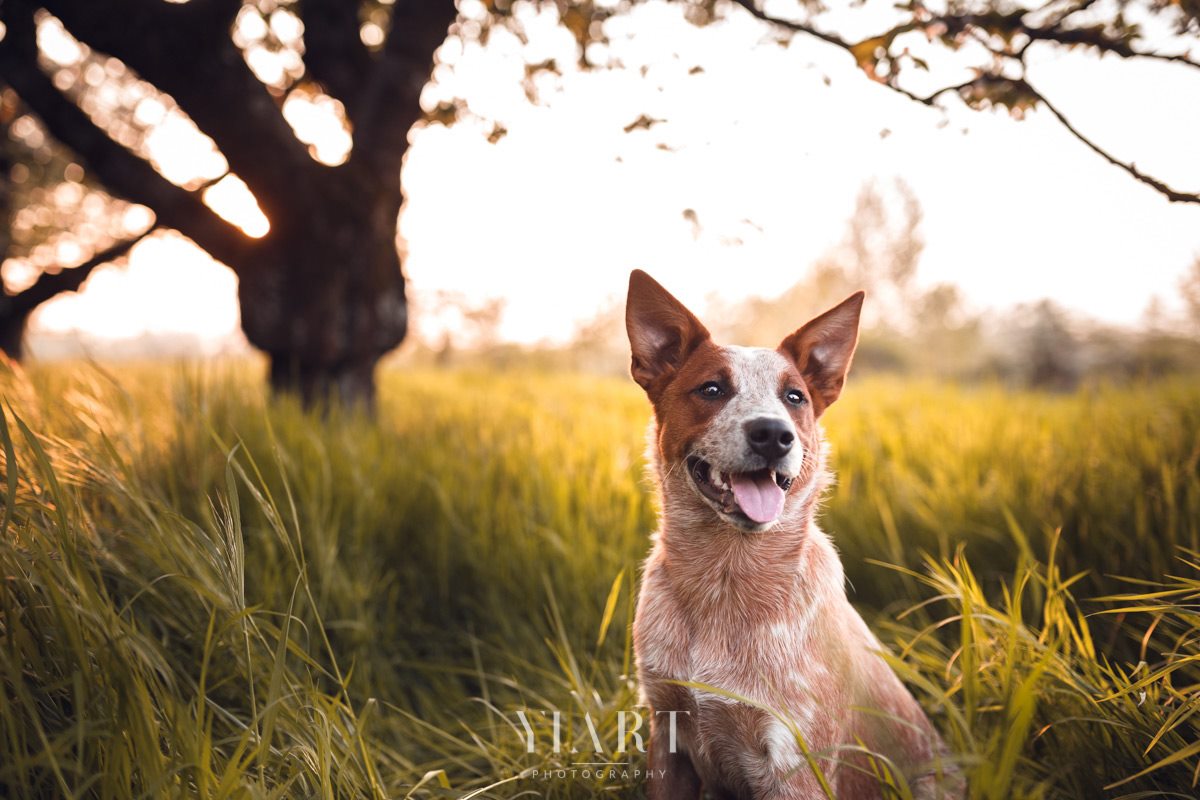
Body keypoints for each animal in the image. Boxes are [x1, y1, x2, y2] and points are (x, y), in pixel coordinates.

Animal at [628, 271, 955, 800]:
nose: (772, 433)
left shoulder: (794, 762)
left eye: (794, 397)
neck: (725, 577)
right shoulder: (667, 732)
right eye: (712, 388)